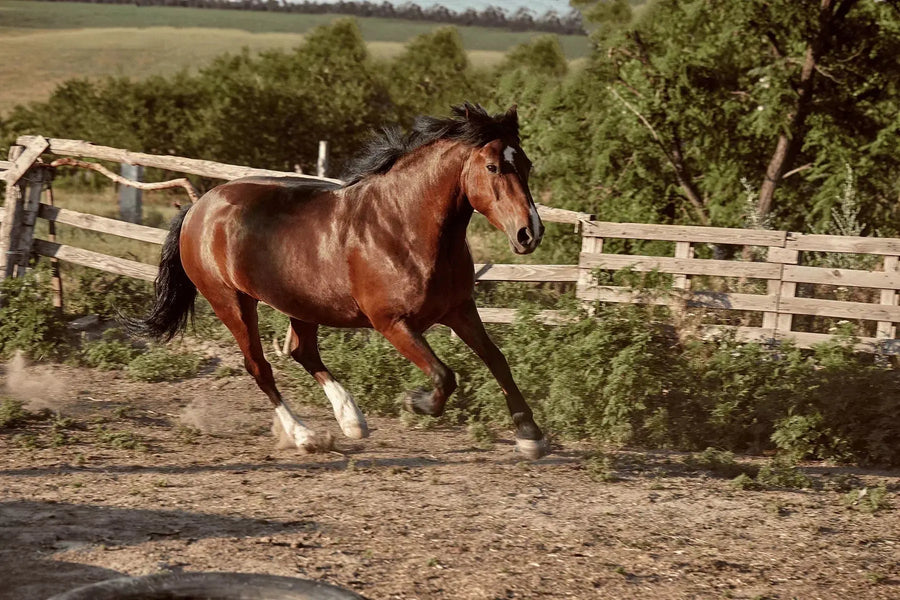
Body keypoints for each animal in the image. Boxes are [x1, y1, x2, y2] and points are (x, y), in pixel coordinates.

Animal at [128, 102, 548, 459]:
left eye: (526, 163)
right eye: (493, 167)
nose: (530, 233)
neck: (404, 227)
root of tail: (199, 205)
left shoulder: (459, 309)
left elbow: (497, 360)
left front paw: (530, 437)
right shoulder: (392, 323)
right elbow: (445, 375)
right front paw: (414, 402)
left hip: (300, 303)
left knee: (302, 352)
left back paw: (351, 422)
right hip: (231, 302)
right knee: (259, 366)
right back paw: (305, 435)